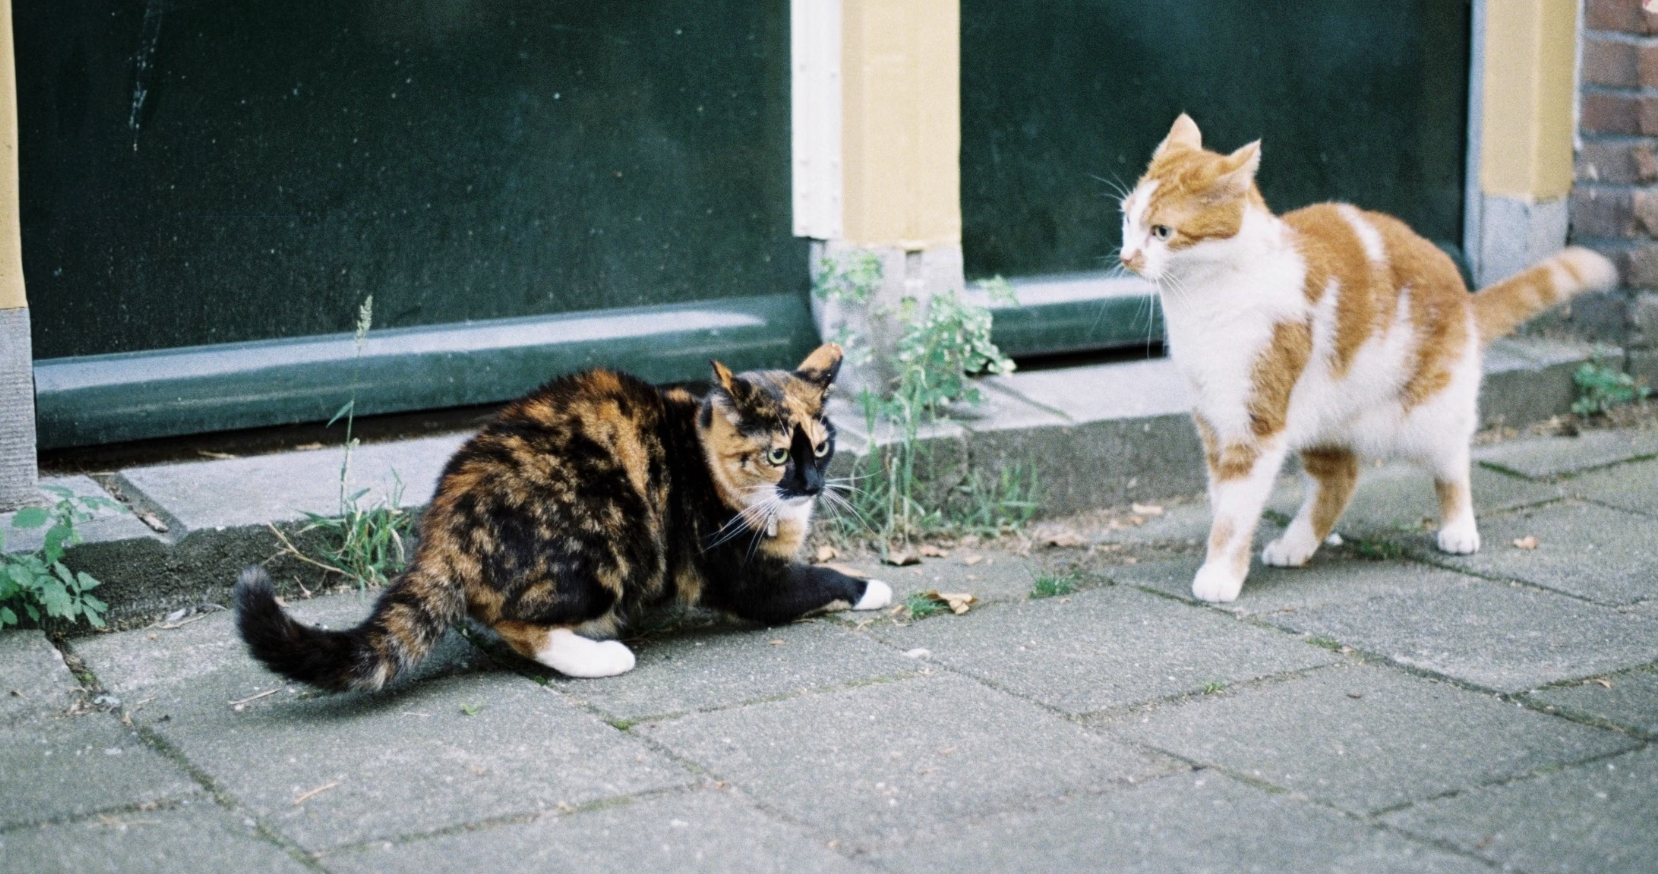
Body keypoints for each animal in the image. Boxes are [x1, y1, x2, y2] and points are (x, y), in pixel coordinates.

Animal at [233, 341, 895, 689]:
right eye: (778, 454)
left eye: (822, 447)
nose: (812, 485)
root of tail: (445, 534)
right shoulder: (744, 574)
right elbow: (813, 582)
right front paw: (874, 586)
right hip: (608, 538)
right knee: (517, 624)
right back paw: (601, 654)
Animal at [1120, 116, 1611, 606]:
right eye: (1127, 218)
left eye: (1161, 231)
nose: (1126, 257)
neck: (1205, 301)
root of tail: (1463, 291)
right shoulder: (1214, 419)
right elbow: (1223, 498)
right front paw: (1223, 559)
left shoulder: (1254, 424)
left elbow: (1235, 513)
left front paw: (1221, 574)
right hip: (1324, 414)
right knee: (1340, 480)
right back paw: (1296, 546)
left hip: (1431, 411)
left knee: (1452, 462)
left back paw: (1458, 529)